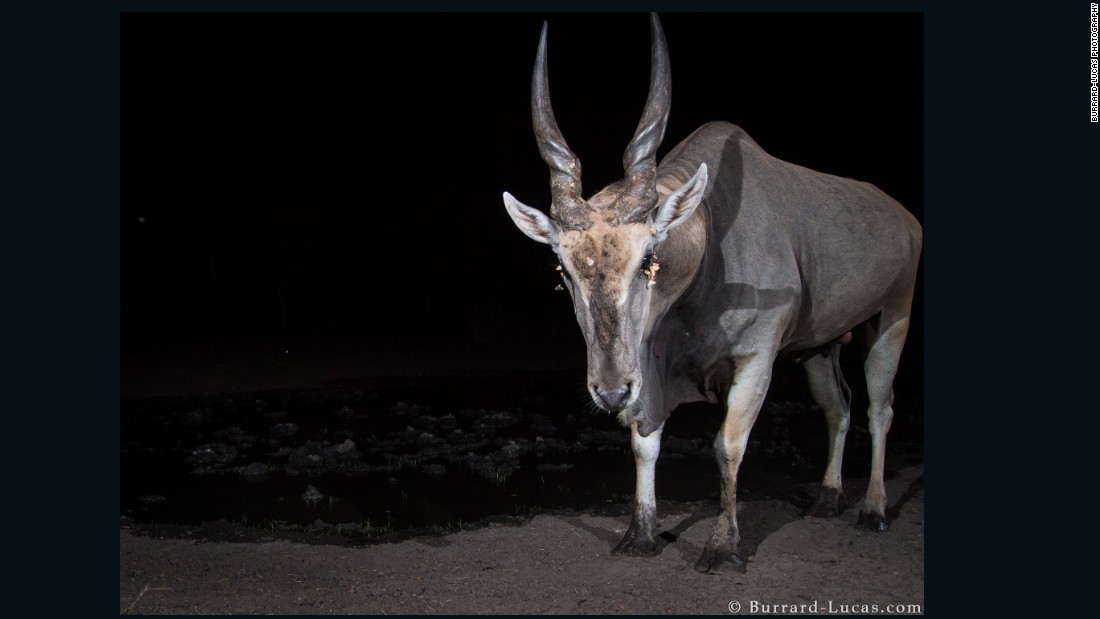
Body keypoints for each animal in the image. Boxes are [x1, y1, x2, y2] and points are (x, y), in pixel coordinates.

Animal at [503, 14, 924, 576]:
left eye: (649, 259)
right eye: (562, 271)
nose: (610, 392)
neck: (710, 234)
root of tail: (905, 219)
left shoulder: (756, 359)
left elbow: (727, 446)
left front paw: (724, 546)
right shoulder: (651, 365)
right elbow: (644, 442)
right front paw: (641, 535)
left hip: (892, 317)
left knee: (881, 406)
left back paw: (873, 509)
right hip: (820, 347)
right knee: (839, 407)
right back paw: (828, 498)